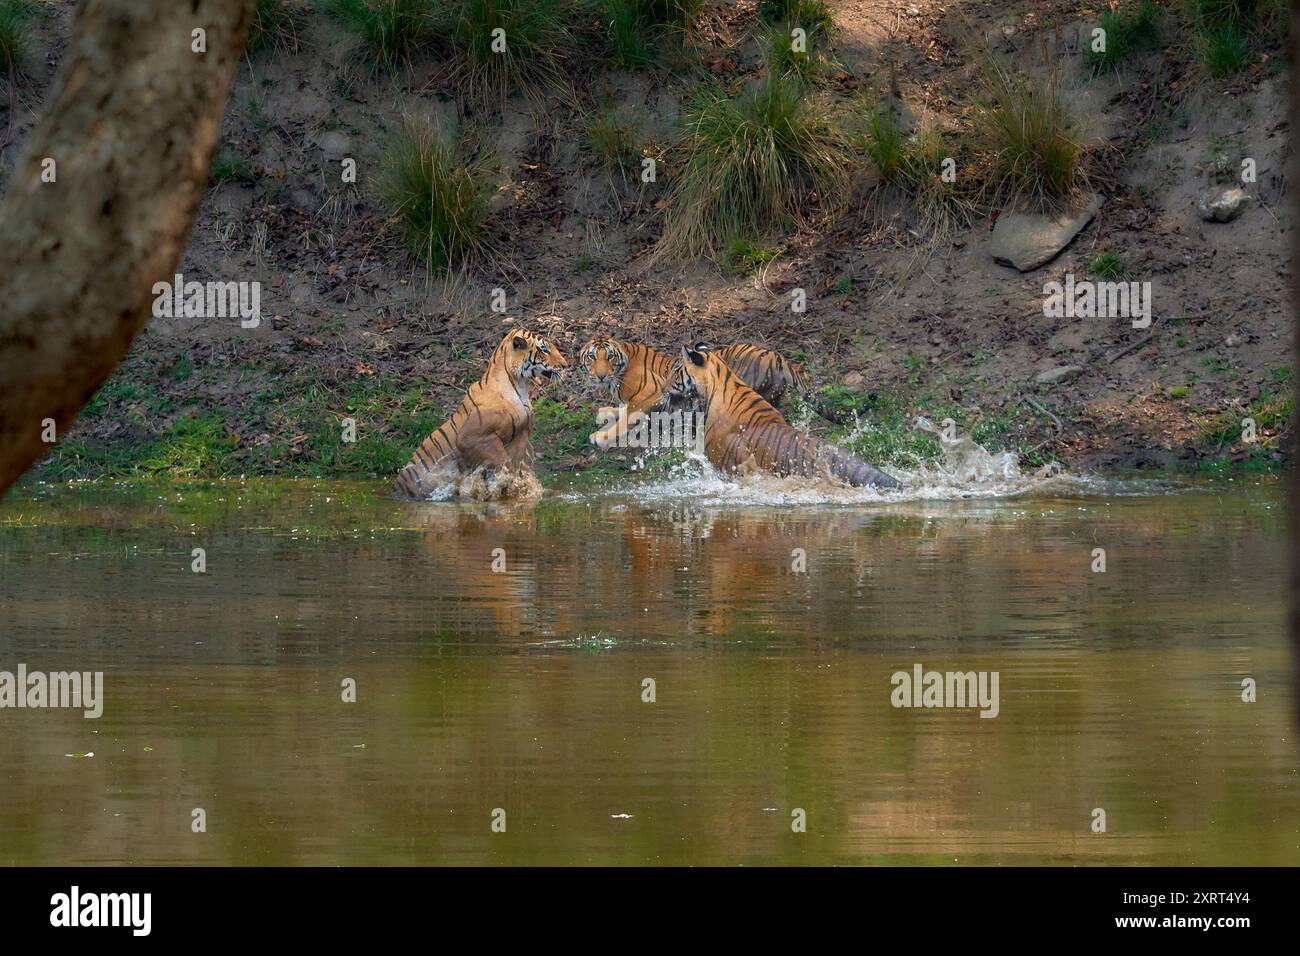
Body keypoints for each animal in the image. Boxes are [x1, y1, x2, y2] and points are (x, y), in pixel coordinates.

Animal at [395, 327, 569, 496]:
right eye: (544, 350)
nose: (566, 365)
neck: (520, 385)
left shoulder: (521, 434)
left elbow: (517, 462)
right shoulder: (471, 437)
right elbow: (502, 461)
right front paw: (509, 483)